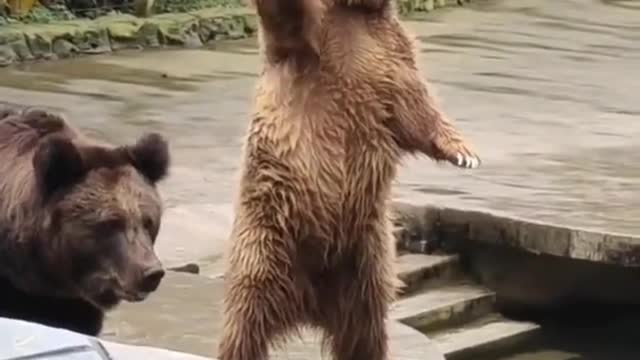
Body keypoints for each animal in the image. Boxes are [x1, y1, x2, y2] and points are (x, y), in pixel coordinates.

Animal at [220, 0, 480, 360]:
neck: (357, 9)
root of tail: (307, 304)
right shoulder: (319, 43)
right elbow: (288, 25)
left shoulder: (390, 50)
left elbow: (417, 107)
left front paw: (465, 153)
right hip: (268, 236)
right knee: (245, 318)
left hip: (367, 258)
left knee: (366, 330)